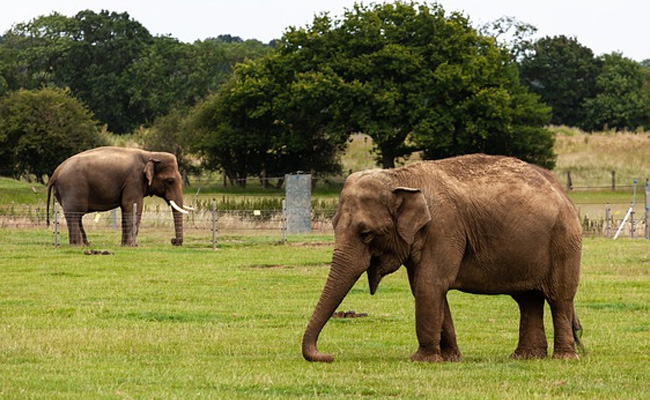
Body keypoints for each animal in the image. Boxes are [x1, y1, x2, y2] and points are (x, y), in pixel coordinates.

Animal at [46, 146, 192, 246]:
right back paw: (78, 246)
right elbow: (133, 207)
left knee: (76, 216)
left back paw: (85, 245)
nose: (173, 241)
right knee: (75, 214)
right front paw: (133, 246)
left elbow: (126, 208)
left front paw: (124, 245)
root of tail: (55, 172)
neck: (150, 154)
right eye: (170, 181)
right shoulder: (134, 180)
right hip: (73, 187)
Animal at [302, 154, 583, 362]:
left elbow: (430, 284)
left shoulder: (444, 227)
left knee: (559, 298)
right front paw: (450, 358)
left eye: (366, 234)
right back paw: (525, 357)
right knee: (528, 299)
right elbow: (425, 287)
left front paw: (422, 359)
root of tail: (561, 191)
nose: (329, 355)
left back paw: (563, 358)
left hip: (564, 242)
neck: (400, 176)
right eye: (333, 224)